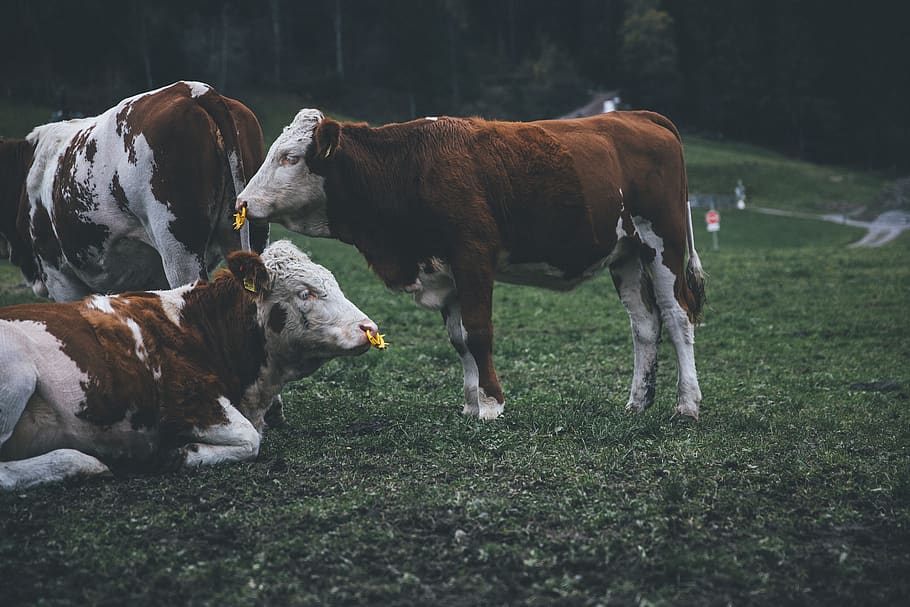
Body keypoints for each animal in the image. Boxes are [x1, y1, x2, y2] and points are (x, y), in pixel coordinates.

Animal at [0, 240, 379, 491]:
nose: (369, 328)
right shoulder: (188, 403)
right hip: (17, 378)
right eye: (305, 293)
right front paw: (178, 454)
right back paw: (78, 463)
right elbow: (249, 439)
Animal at [236, 110, 706, 420]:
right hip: (626, 254)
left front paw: (492, 404)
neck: (409, 167)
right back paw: (638, 402)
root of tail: (641, 116)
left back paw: (687, 403)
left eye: (291, 157)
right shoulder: (444, 271)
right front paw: (470, 402)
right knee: (645, 324)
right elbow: (459, 339)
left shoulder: (473, 256)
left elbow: (479, 332)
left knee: (677, 316)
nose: (241, 201)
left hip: (663, 243)